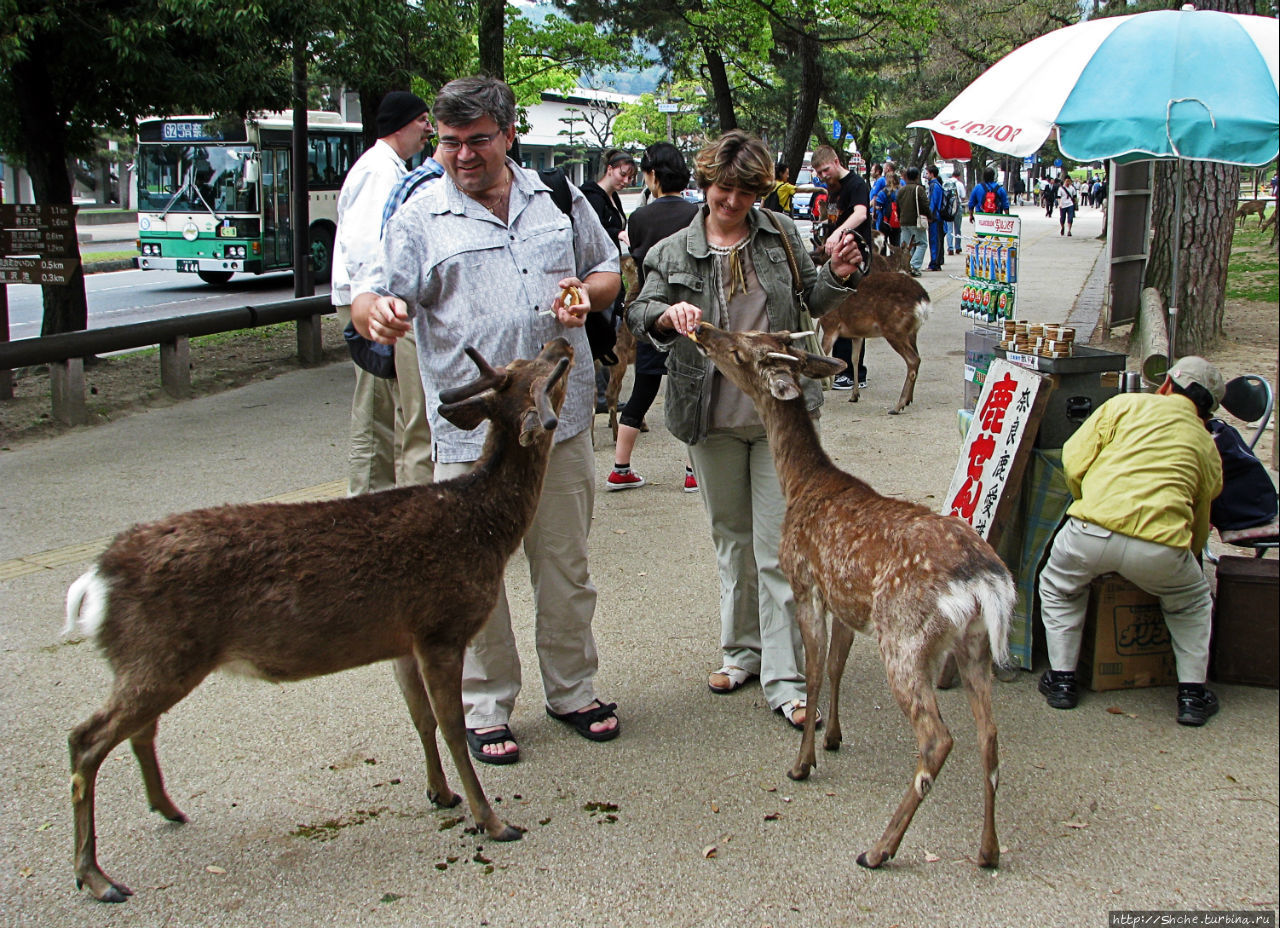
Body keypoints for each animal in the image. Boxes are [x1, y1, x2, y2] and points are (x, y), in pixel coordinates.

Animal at [62, 337, 573, 901]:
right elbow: (452, 726)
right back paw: (95, 876)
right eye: (542, 376)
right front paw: (493, 821)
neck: (483, 530)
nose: (562, 342)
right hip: (159, 655)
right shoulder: (441, 627)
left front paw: (440, 794)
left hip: (156, 660)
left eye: (525, 361)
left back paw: (168, 810)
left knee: (138, 730)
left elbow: (419, 720)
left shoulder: (401, 639)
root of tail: (95, 581)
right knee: (84, 739)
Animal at [691, 320, 1008, 870]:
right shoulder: (845, 602)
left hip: (905, 639)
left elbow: (815, 674)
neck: (802, 485)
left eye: (741, 350)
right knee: (988, 736)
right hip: (973, 646)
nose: (705, 328)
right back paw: (987, 851)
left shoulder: (806, 584)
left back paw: (879, 849)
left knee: (938, 738)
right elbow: (837, 667)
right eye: (749, 334)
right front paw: (835, 737)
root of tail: (983, 580)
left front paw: (803, 762)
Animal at [819, 267, 931, 412]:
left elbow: (823, 355)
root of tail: (923, 301)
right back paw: (908, 400)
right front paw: (854, 396)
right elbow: (854, 359)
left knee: (913, 360)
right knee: (917, 358)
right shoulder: (857, 334)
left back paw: (898, 406)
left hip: (894, 329)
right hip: (912, 332)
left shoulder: (830, 326)